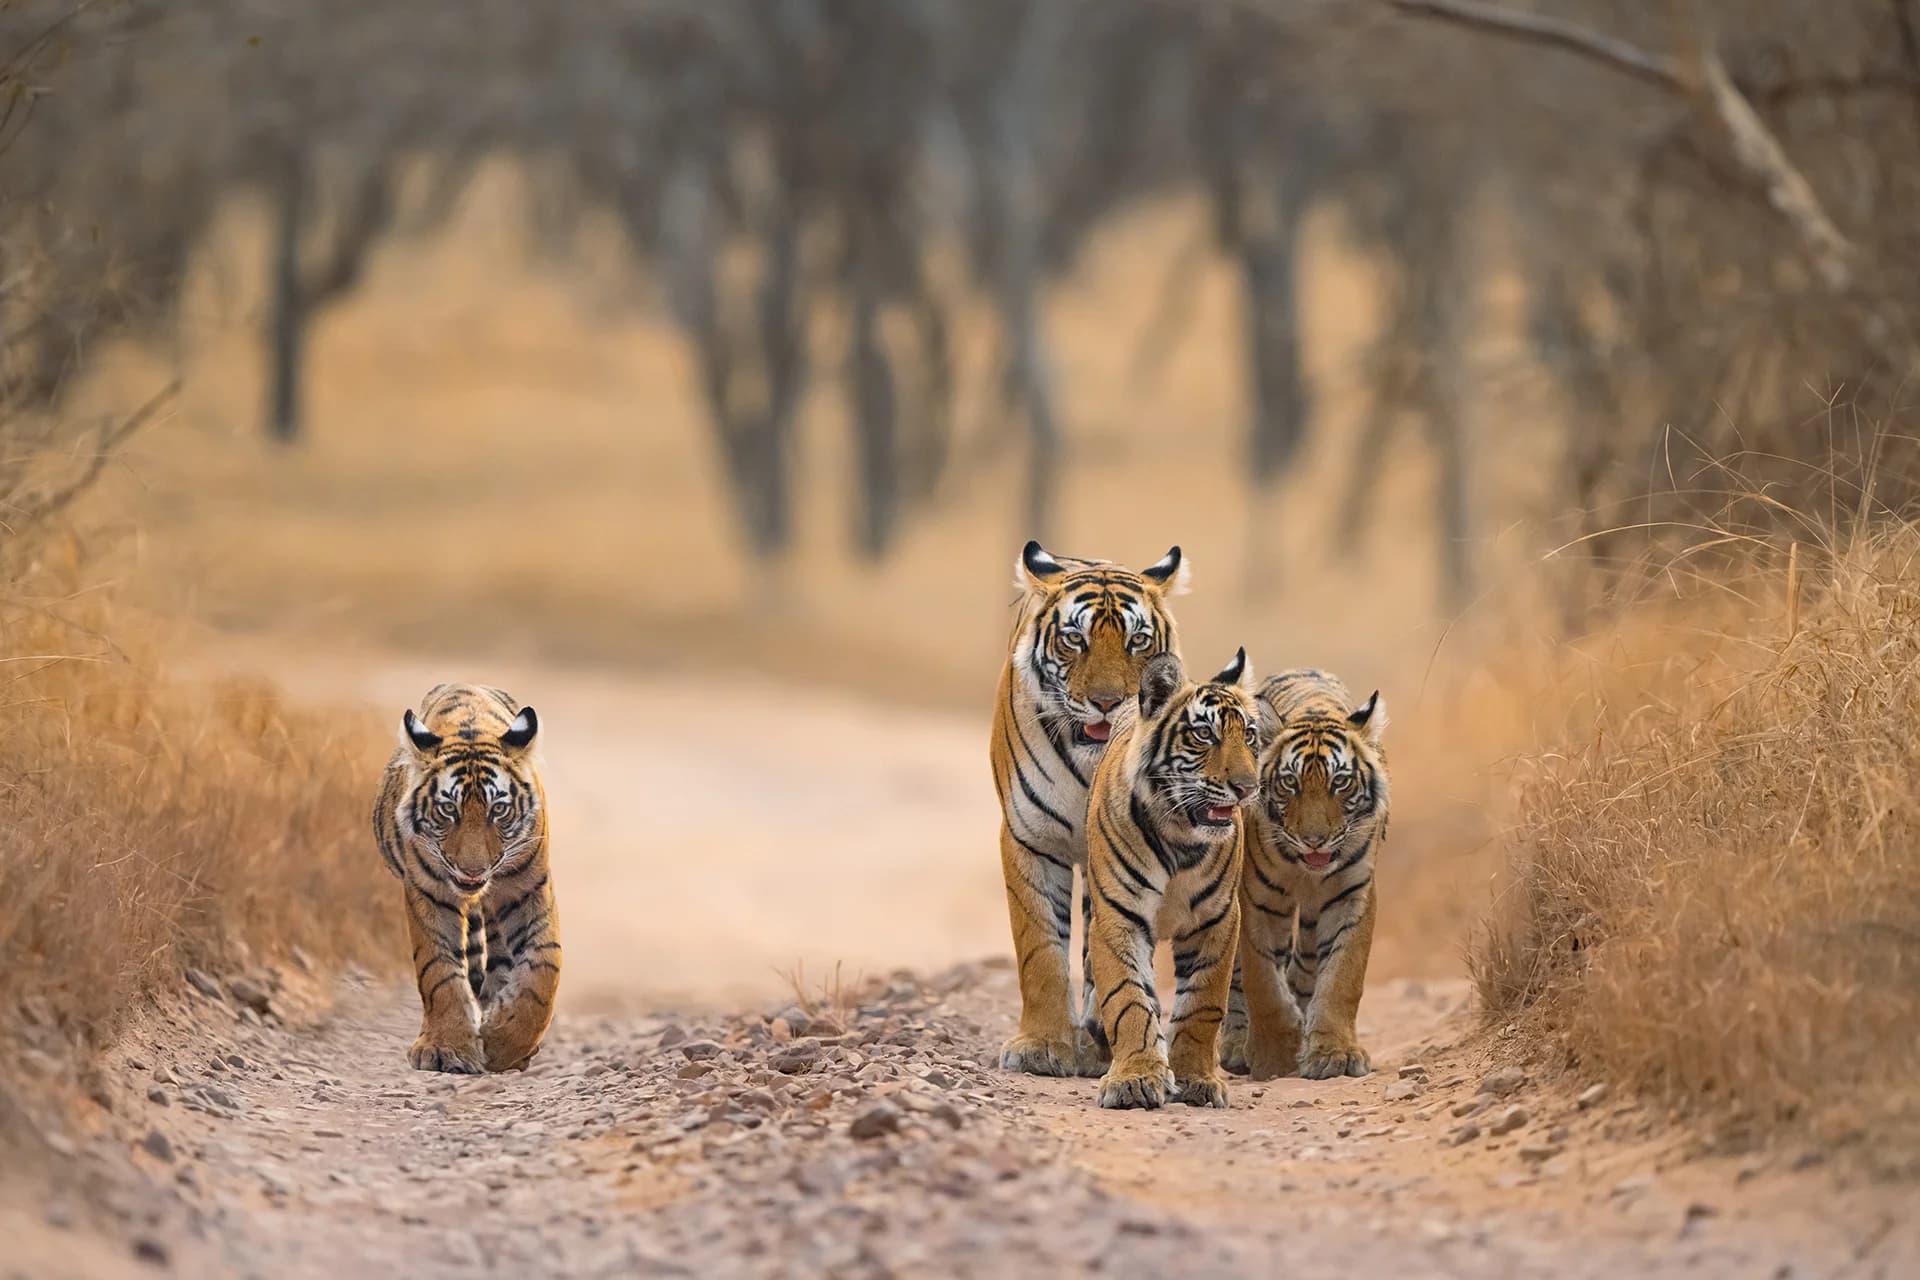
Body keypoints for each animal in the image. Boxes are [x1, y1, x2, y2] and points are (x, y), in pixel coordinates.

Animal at [372, 683, 560, 1074]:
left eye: (499, 810)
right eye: (448, 809)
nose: (473, 870)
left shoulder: (529, 888)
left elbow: (543, 973)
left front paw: (504, 1044)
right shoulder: (428, 892)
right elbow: (439, 971)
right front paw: (447, 1049)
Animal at [991, 539, 1189, 1078]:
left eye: (1137, 641)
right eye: (1074, 641)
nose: (1108, 702)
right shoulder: (1031, 838)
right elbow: (1040, 949)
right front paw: (1041, 1045)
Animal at [1085, 647, 1261, 1109]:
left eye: (1250, 736)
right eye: (1204, 735)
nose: (1247, 787)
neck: (1180, 836)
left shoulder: (1217, 920)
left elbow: (1202, 1006)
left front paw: (1196, 1079)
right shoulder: (1118, 917)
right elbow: (1128, 999)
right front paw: (1135, 1078)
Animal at [1222, 668, 1389, 1080]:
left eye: (1340, 782)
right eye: (1290, 783)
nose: (1314, 841)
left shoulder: (1351, 895)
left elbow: (1342, 978)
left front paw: (1334, 1053)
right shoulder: (1260, 899)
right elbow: (1262, 981)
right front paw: (1274, 1056)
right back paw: (1236, 1045)